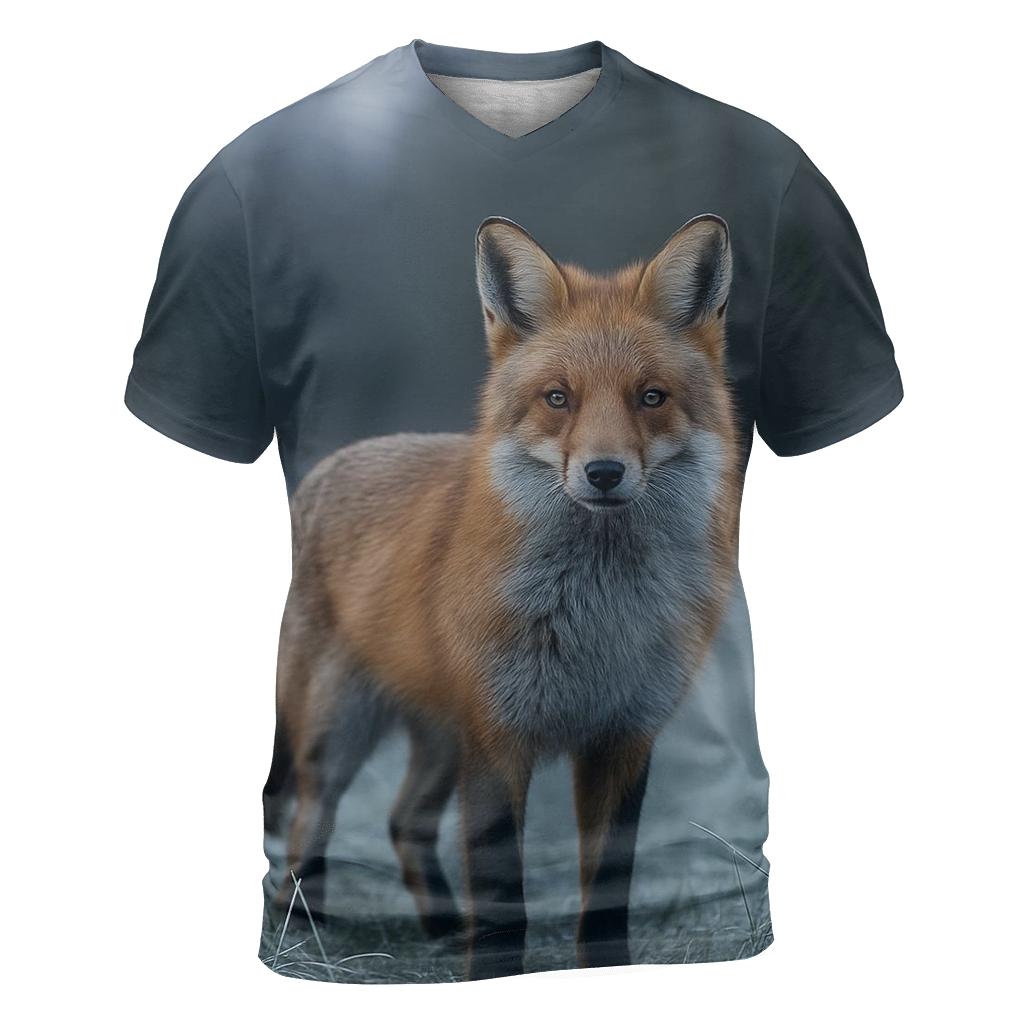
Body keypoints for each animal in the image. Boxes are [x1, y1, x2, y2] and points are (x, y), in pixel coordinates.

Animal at [266, 214, 741, 980]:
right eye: (558, 398)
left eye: (651, 397)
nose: (604, 472)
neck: (598, 618)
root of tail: (325, 468)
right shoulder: (498, 739)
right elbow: (500, 896)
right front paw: (489, 969)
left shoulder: (624, 737)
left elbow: (607, 891)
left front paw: (604, 967)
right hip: (340, 732)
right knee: (311, 821)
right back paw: (299, 926)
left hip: (439, 738)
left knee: (405, 820)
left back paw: (438, 927)